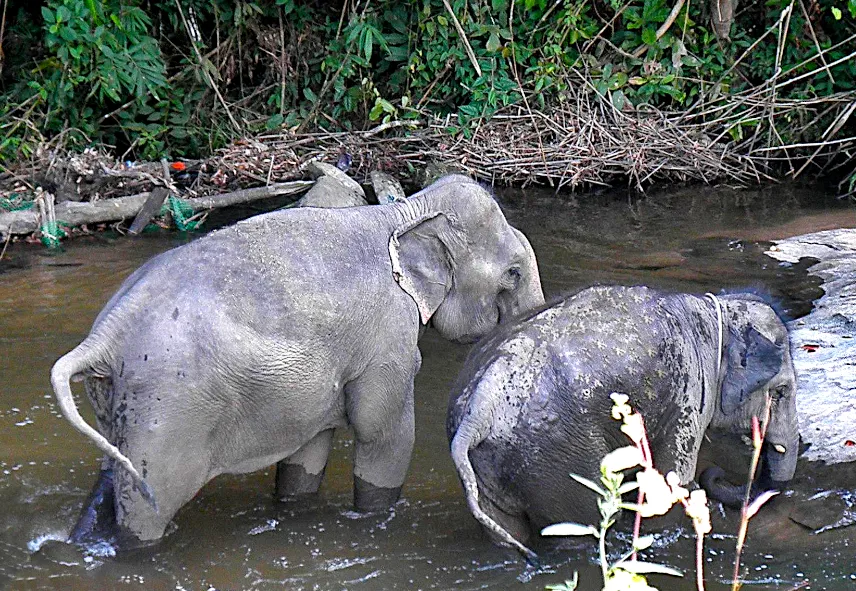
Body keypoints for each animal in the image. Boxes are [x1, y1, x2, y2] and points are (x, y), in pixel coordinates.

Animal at [51, 173, 540, 548]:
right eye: (513, 273)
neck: (403, 212)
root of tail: (104, 334)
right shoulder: (387, 338)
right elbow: (385, 434)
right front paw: (374, 519)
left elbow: (309, 452)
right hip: (169, 409)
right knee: (148, 503)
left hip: (124, 401)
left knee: (113, 475)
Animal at [444, 286, 800, 560]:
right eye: (781, 392)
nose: (715, 472)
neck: (715, 316)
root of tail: (481, 403)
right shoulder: (688, 394)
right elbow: (670, 482)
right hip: (553, 457)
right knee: (579, 524)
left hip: (494, 464)